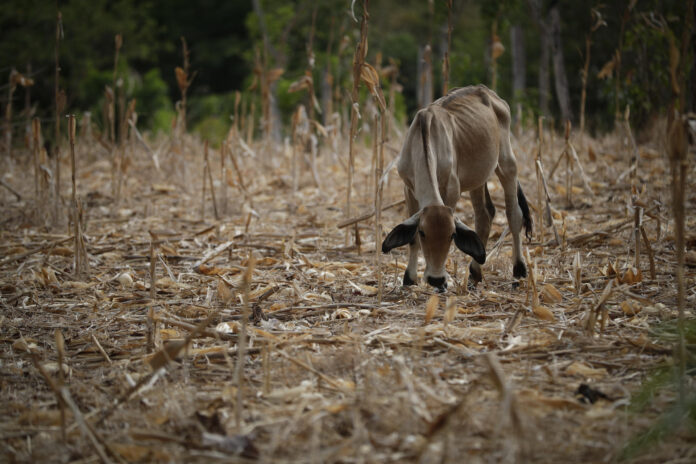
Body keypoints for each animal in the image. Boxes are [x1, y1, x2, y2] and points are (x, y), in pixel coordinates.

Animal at [381, 85, 532, 292]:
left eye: (452, 235)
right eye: (422, 232)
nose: (436, 279)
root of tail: (487, 91)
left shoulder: (452, 190)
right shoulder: (409, 190)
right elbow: (412, 239)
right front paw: (410, 278)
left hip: (507, 163)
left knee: (514, 214)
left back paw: (518, 270)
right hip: (478, 178)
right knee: (485, 215)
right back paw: (475, 273)